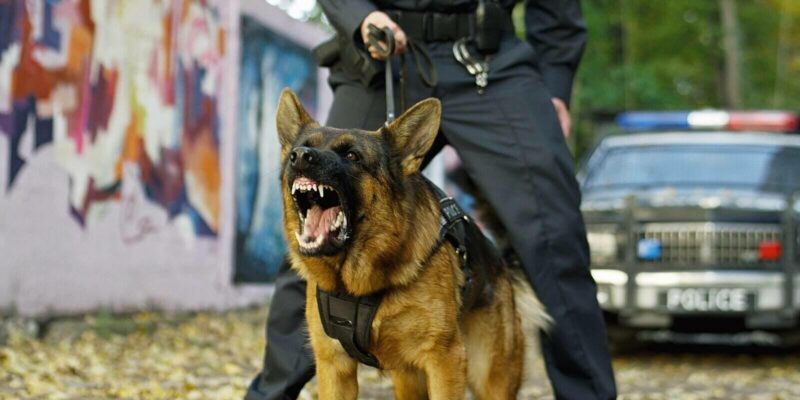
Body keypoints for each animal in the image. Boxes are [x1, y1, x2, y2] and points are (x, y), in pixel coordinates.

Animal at [276, 88, 552, 400]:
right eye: (302, 148)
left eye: (351, 155)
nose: (300, 157)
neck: (358, 285)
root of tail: (499, 262)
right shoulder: (334, 368)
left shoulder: (445, 361)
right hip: (409, 380)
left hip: (490, 379)